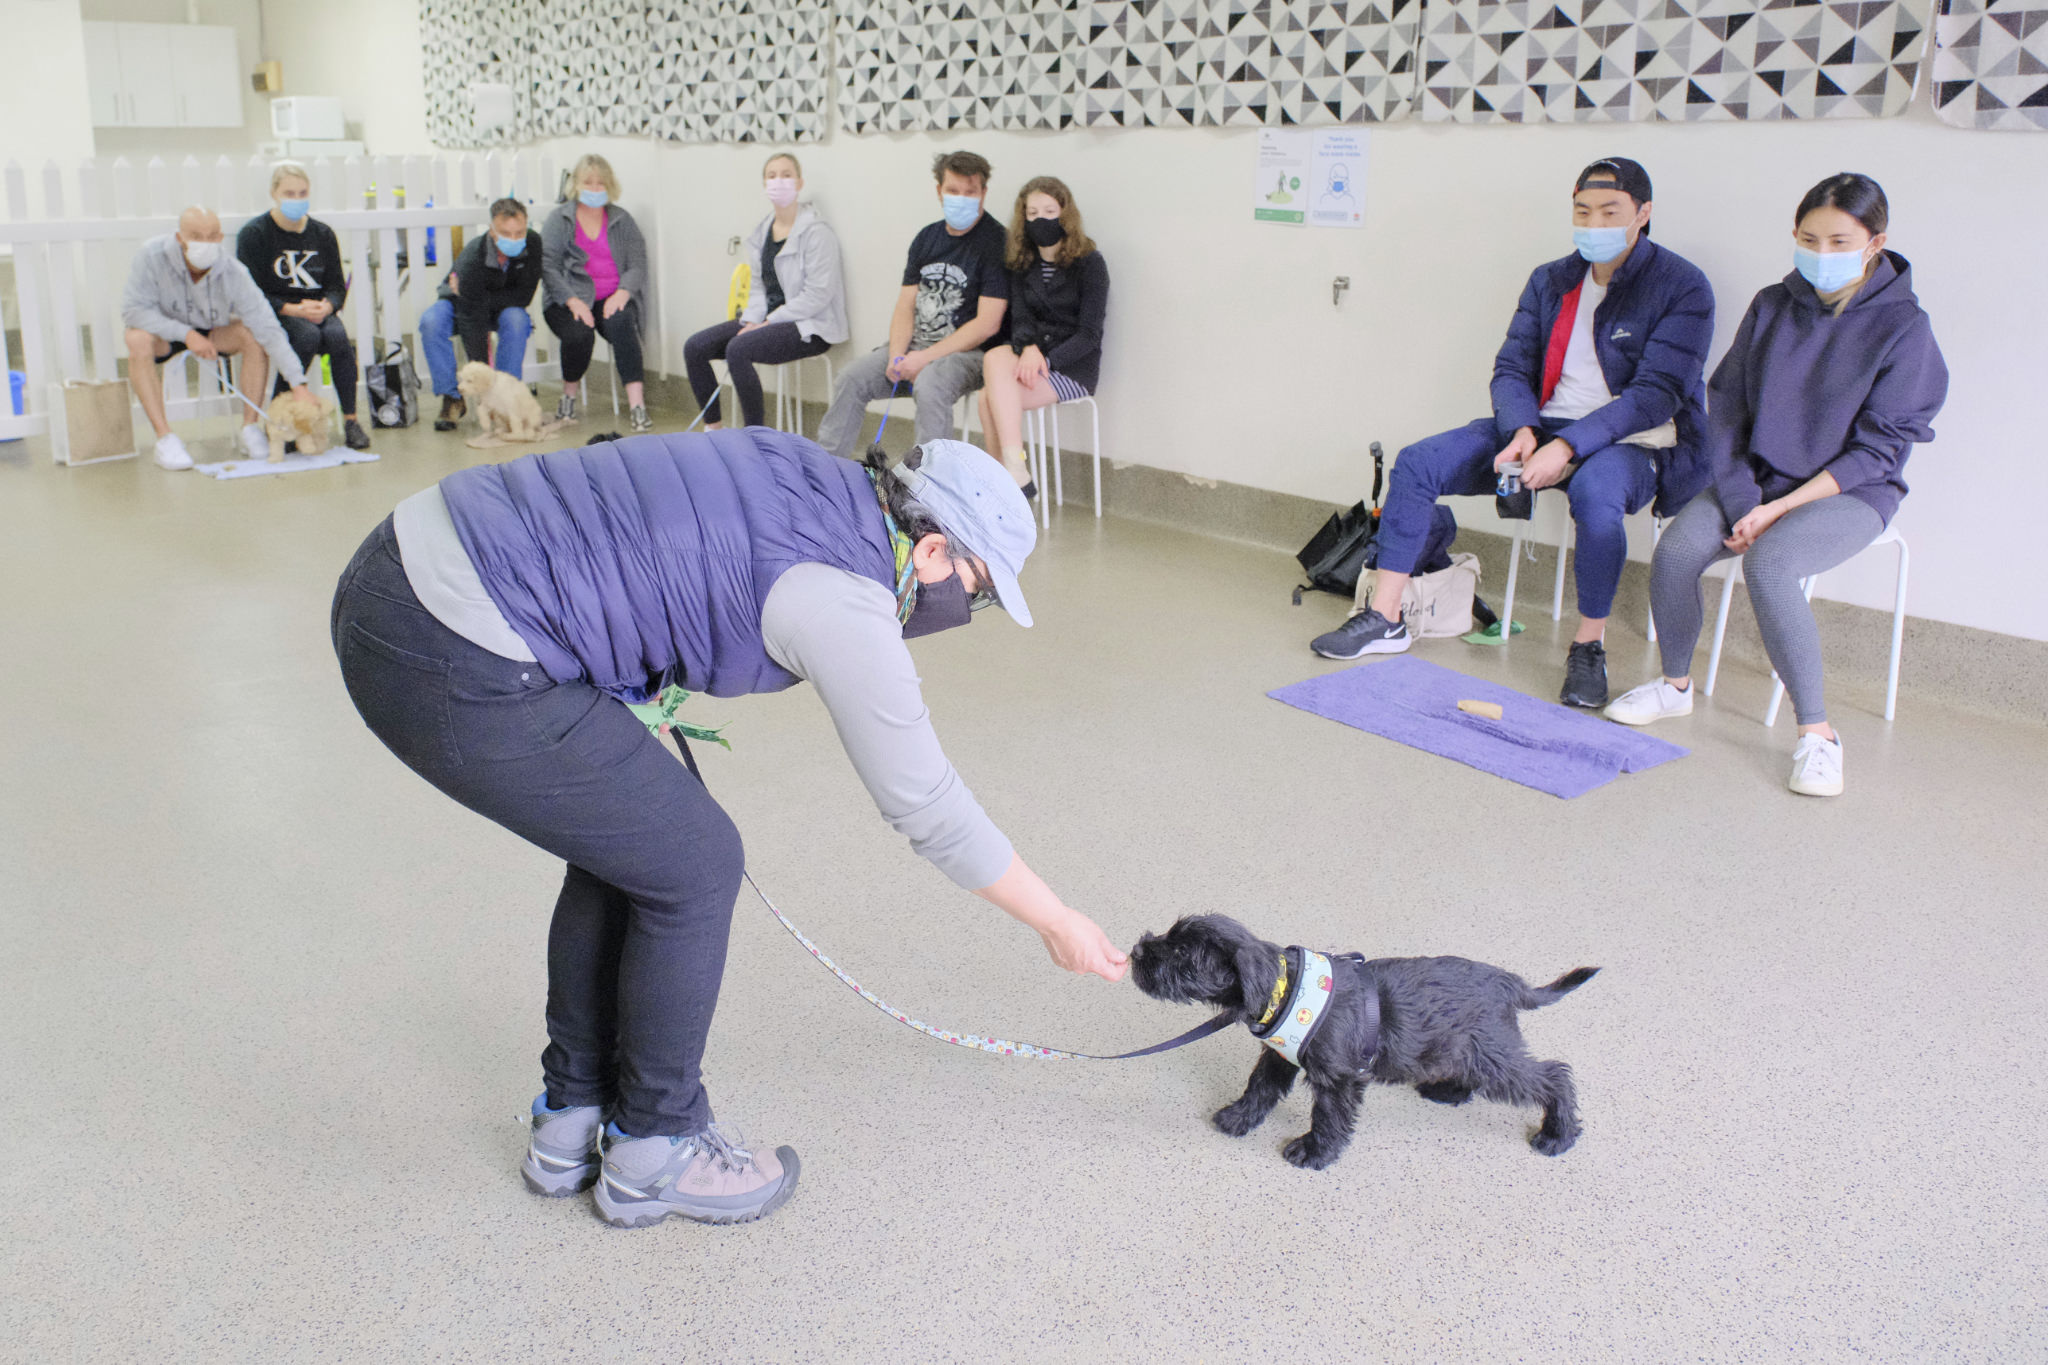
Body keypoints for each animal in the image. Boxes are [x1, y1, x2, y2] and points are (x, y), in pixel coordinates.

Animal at [1138, 912, 1597, 1170]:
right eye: (1169, 936)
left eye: (1181, 954)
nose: (1139, 950)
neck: (1285, 987)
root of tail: (1511, 983)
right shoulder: (1279, 1059)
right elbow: (1259, 1090)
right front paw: (1238, 1118)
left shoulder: (1339, 1079)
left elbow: (1328, 1117)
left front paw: (1313, 1153)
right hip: (1466, 1049)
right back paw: (1448, 1091)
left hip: (1493, 1054)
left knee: (1553, 1075)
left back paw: (1558, 1135)